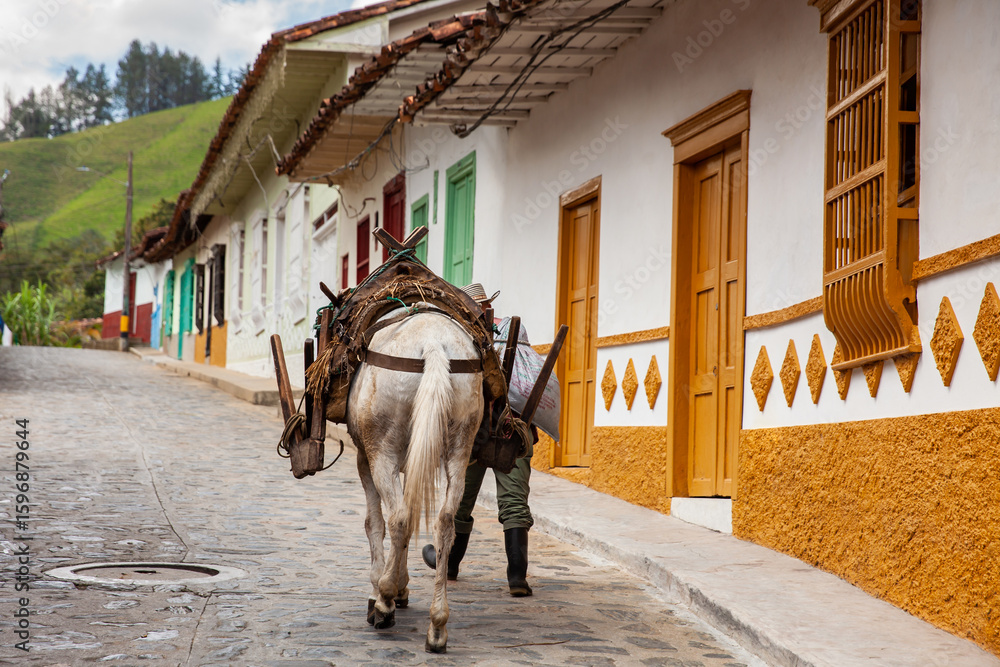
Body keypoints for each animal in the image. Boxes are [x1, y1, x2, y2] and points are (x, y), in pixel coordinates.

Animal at [345, 310, 484, 653]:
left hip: (381, 452)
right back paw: (437, 625)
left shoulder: (365, 458)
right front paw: (401, 586)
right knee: (444, 523)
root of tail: (433, 342)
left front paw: (382, 591)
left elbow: (375, 524)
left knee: (397, 518)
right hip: (460, 447)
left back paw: (384, 603)